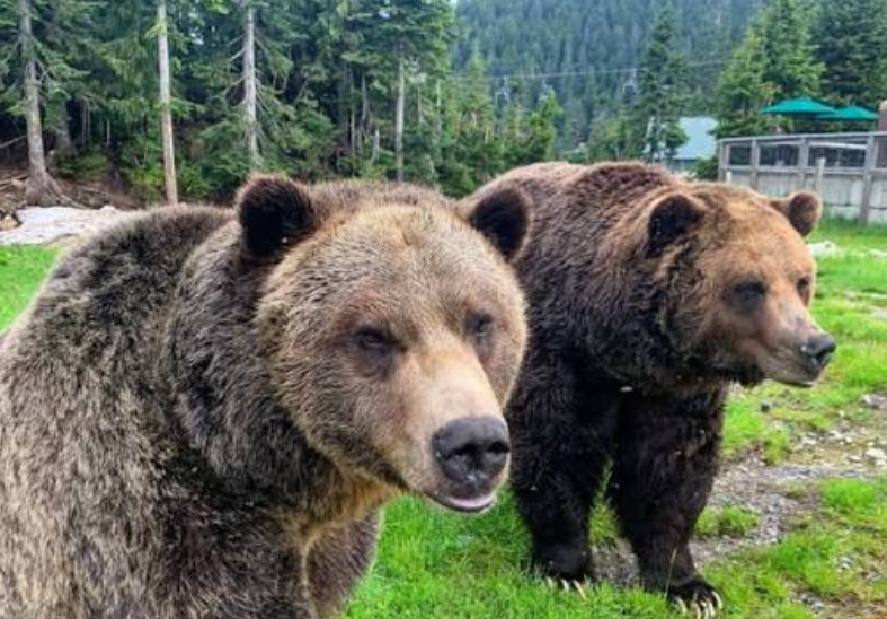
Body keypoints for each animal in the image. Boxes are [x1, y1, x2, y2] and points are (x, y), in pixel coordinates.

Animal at [462, 161, 835, 617]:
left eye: (802, 280)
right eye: (750, 286)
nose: (816, 347)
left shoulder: (673, 394)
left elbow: (669, 472)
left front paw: (688, 587)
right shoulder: (561, 359)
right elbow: (557, 449)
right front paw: (566, 571)